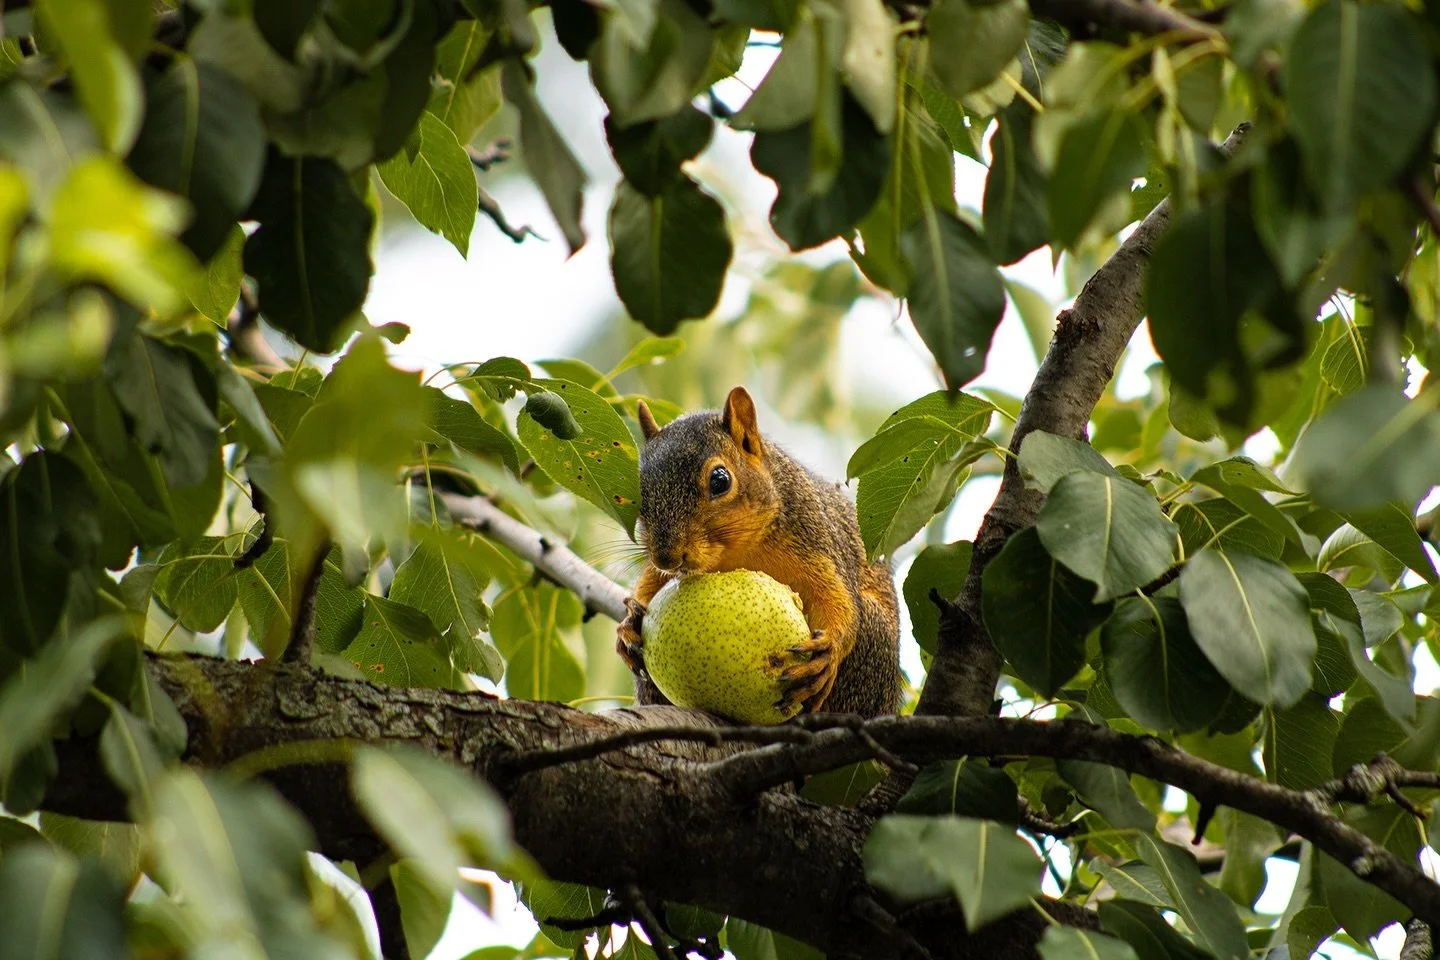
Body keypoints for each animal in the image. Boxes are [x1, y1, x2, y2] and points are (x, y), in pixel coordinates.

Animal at [615, 386, 901, 718]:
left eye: (720, 480)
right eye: (635, 492)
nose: (668, 557)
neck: (737, 552)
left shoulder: (816, 540)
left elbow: (836, 597)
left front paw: (829, 650)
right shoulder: (659, 570)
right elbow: (649, 582)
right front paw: (628, 624)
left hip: (873, 645)